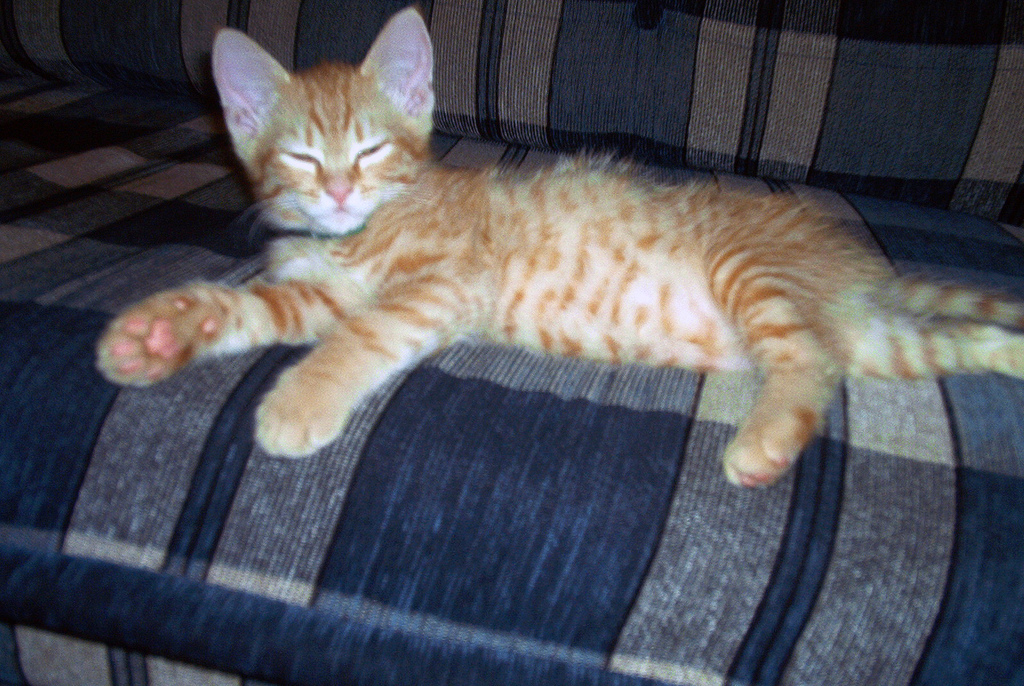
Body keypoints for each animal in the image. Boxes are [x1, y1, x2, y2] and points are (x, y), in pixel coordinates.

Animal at [96, 7, 1024, 487]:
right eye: (297, 156)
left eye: (369, 149)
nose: (336, 192)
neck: (360, 235)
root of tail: (855, 263)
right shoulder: (311, 293)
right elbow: (245, 305)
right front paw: (157, 332)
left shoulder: (444, 283)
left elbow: (362, 336)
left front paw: (301, 400)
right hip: (879, 339)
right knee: (945, 340)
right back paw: (1010, 355)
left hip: (754, 272)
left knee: (810, 362)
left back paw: (762, 444)